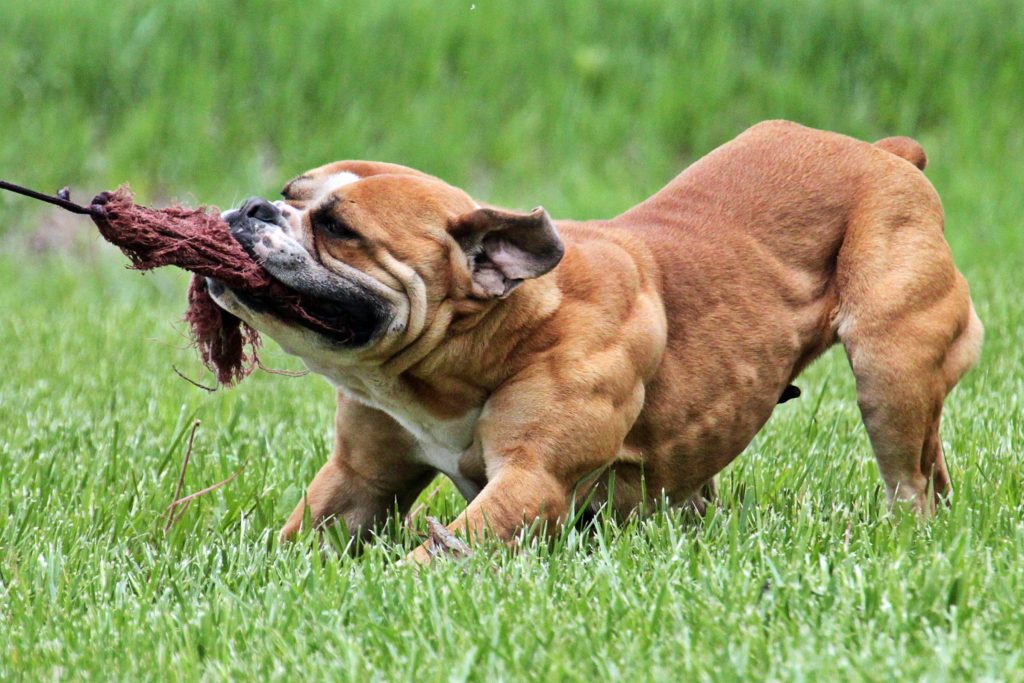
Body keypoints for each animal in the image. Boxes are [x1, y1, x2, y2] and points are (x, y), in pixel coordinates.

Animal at [209, 120, 983, 565]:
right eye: (291, 192)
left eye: (339, 229)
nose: (253, 206)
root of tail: (886, 155)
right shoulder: (360, 477)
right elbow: (303, 533)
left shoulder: (531, 481)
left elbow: (436, 556)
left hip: (889, 366)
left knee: (911, 478)